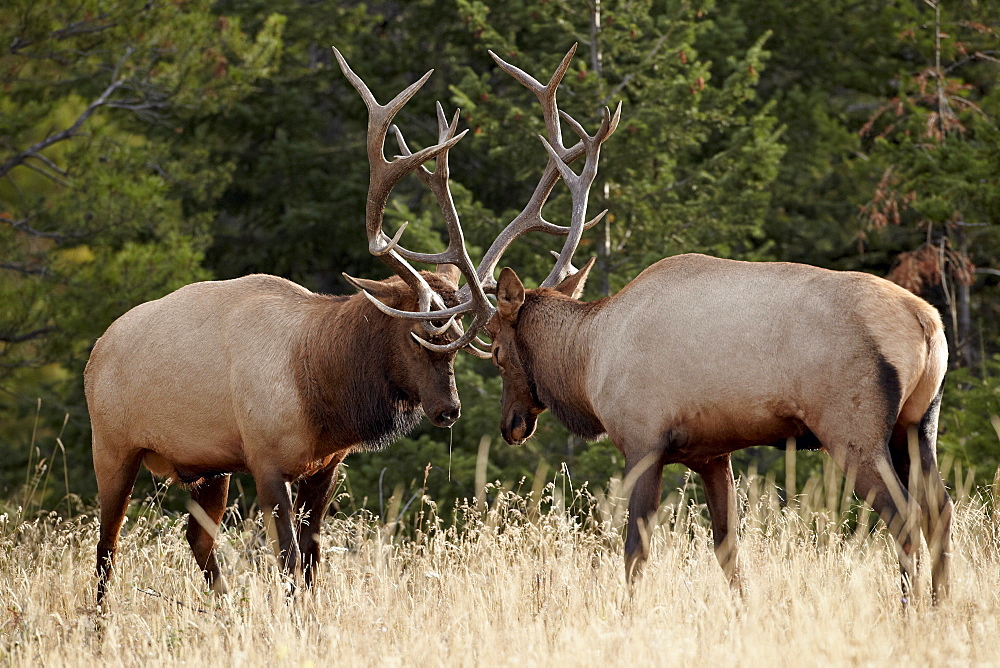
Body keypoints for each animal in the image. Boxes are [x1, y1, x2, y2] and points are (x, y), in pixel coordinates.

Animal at [84, 44, 608, 608]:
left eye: (455, 348)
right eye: (418, 336)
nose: (448, 410)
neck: (320, 388)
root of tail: (95, 352)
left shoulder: (324, 466)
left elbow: (313, 560)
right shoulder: (265, 459)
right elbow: (289, 559)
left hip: (207, 466)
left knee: (196, 539)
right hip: (112, 446)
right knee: (107, 547)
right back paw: (100, 621)